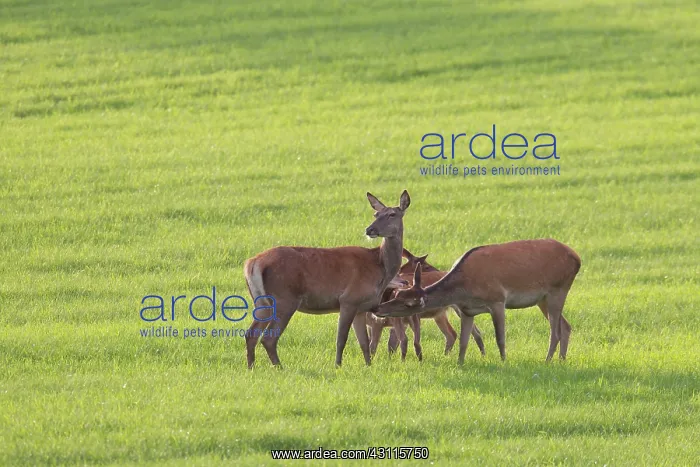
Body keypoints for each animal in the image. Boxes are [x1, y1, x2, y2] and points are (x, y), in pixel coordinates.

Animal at [243, 190, 411, 368]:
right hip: (284, 299)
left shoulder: (361, 307)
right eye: (376, 214)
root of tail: (252, 263)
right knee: (268, 338)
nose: (369, 229)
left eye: (392, 214)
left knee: (251, 334)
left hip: (262, 303)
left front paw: (368, 366)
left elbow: (364, 342)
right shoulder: (348, 299)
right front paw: (338, 366)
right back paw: (280, 368)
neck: (379, 267)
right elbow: (341, 339)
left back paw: (251, 367)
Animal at [374, 239, 581, 364]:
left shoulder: (498, 300)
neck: (466, 288)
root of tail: (577, 258)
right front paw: (460, 363)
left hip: (558, 288)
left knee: (555, 331)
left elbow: (500, 338)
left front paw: (503, 361)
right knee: (566, 326)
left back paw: (548, 360)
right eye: (397, 295)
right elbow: (464, 341)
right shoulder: (466, 310)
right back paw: (561, 360)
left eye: (408, 304)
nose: (379, 308)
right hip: (542, 299)